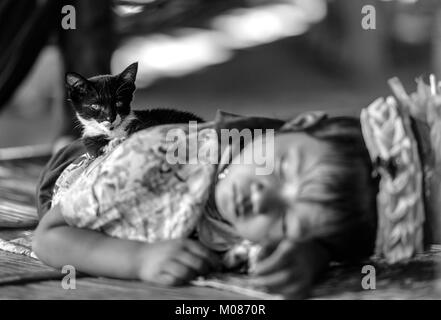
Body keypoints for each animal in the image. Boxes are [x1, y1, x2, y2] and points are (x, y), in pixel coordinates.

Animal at [65, 62, 203, 157]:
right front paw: (113, 143)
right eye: (95, 106)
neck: (114, 131)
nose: (110, 117)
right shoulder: (90, 138)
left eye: (118, 102)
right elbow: (96, 148)